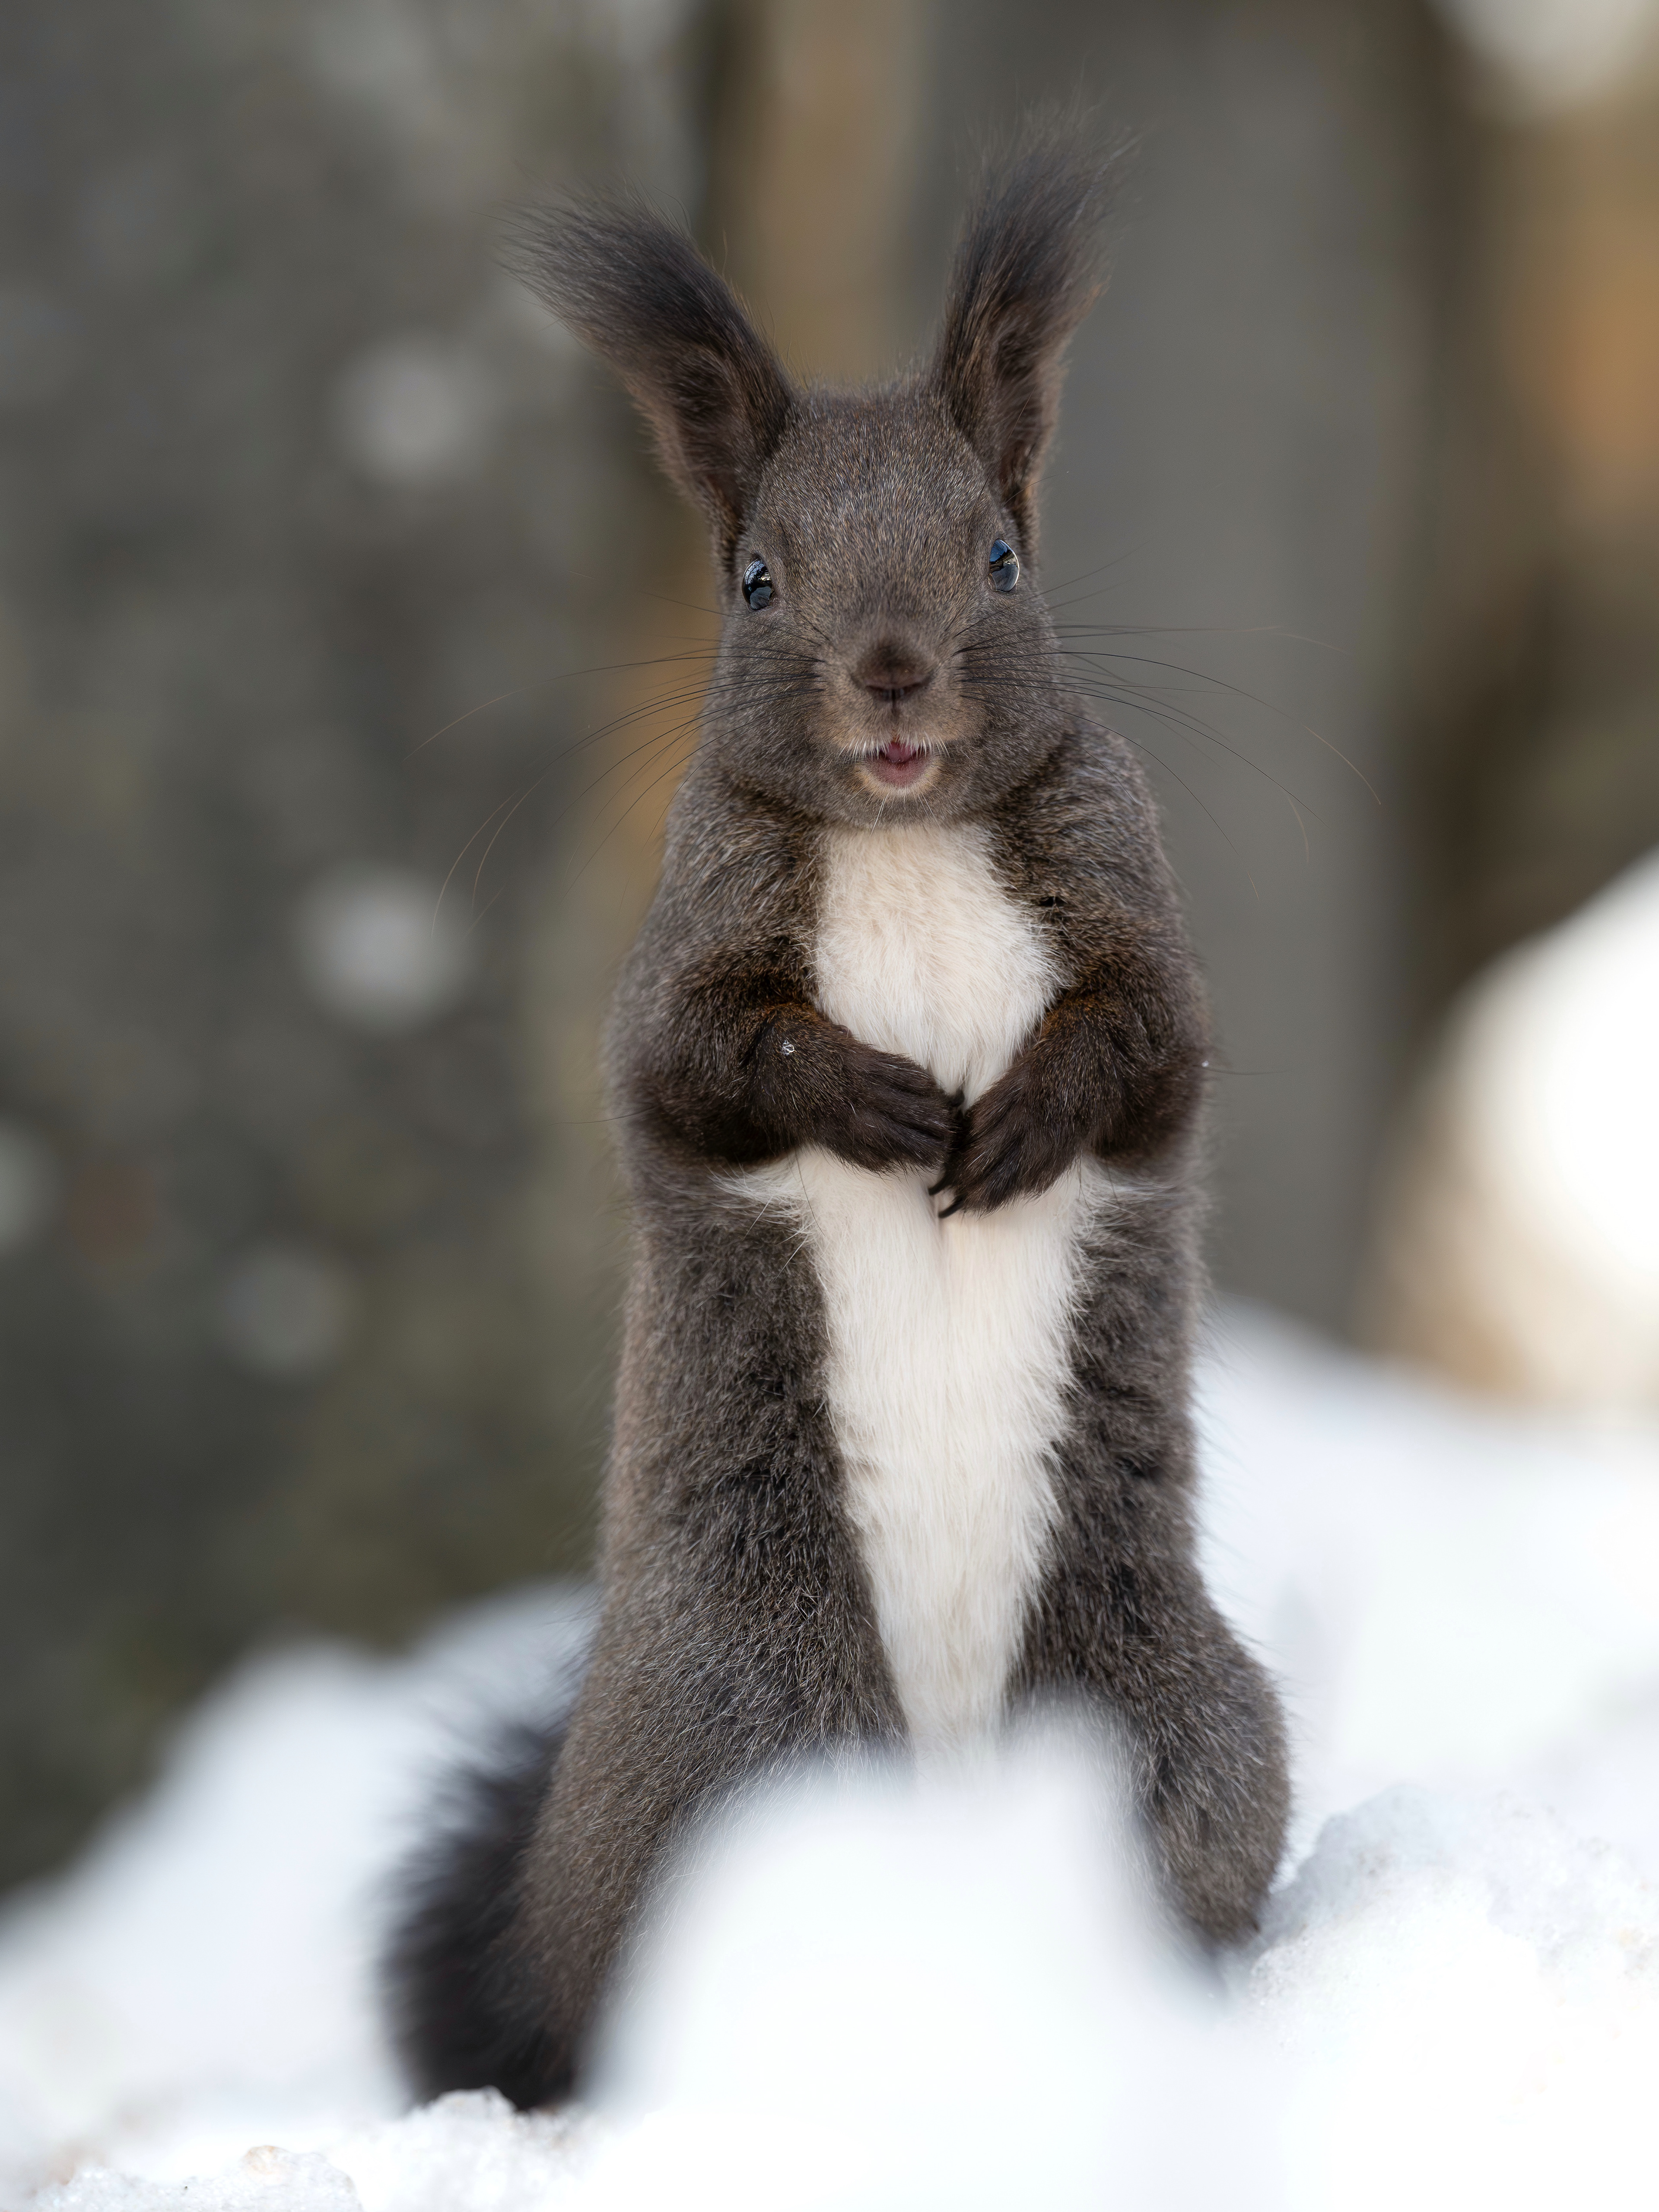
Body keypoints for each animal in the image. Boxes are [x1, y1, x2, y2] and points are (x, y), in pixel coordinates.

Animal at [387, 126, 1290, 2108]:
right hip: (750, 1726)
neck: (909, 834)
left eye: (1003, 555)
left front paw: (1019, 1118)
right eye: (753, 580)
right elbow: (697, 1066)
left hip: (1162, 1713)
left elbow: (1150, 1051)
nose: (890, 671)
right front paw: (875, 1100)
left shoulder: (1140, 929)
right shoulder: (679, 956)